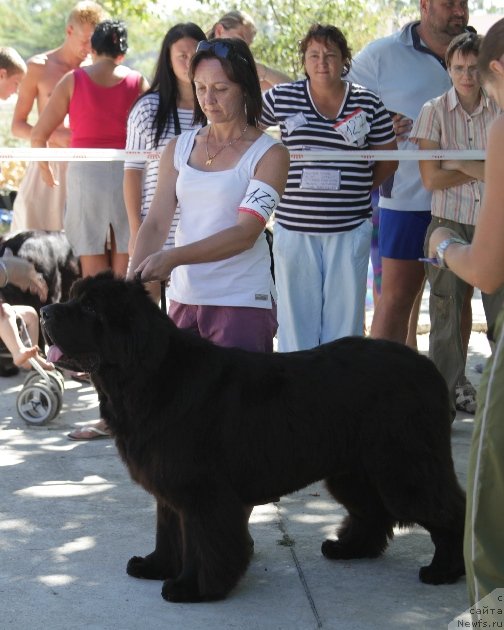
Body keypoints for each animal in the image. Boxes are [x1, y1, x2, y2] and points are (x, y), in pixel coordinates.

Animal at [41, 274, 466, 604]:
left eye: (91, 309)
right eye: (74, 297)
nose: (45, 312)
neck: (146, 375)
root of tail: (427, 368)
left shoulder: (202, 492)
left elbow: (202, 542)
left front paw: (192, 588)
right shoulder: (171, 488)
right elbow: (169, 532)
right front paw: (155, 566)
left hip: (404, 467)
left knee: (449, 509)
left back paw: (446, 570)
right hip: (354, 470)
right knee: (372, 510)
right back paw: (349, 549)